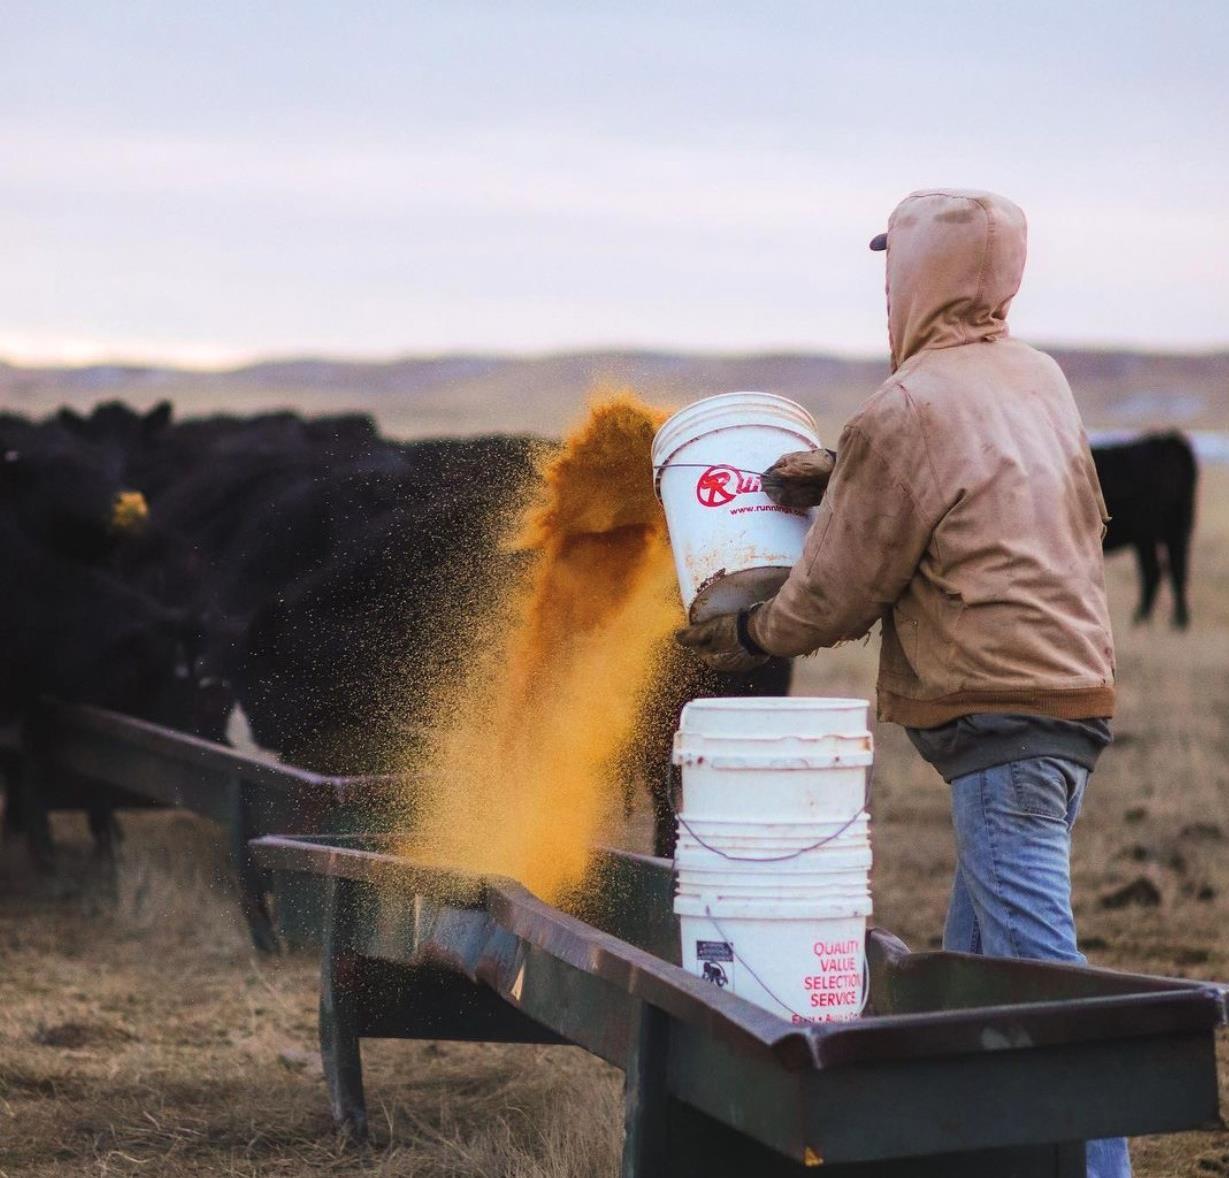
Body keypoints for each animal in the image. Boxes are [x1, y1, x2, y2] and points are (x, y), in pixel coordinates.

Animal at [1091, 432, 1194, 628]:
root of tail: (1168, 441)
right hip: (1173, 531)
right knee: (1175, 569)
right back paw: (1176, 620)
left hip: (1148, 534)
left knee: (1157, 570)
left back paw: (1143, 618)